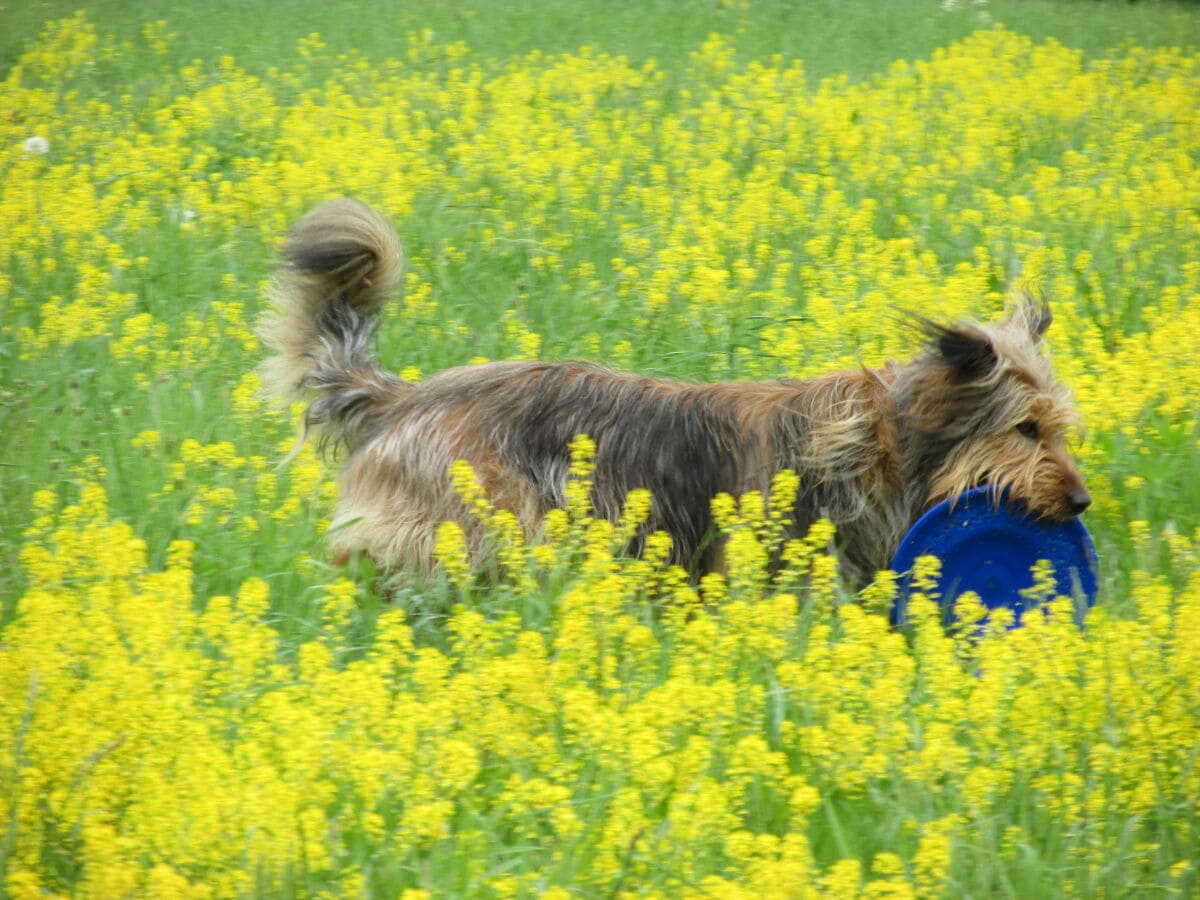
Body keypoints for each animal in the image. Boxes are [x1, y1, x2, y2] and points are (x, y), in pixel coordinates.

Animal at [260, 200, 1089, 588]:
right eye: (1026, 430)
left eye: (1060, 430)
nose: (1080, 501)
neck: (882, 437)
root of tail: (402, 398)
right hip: (484, 523)